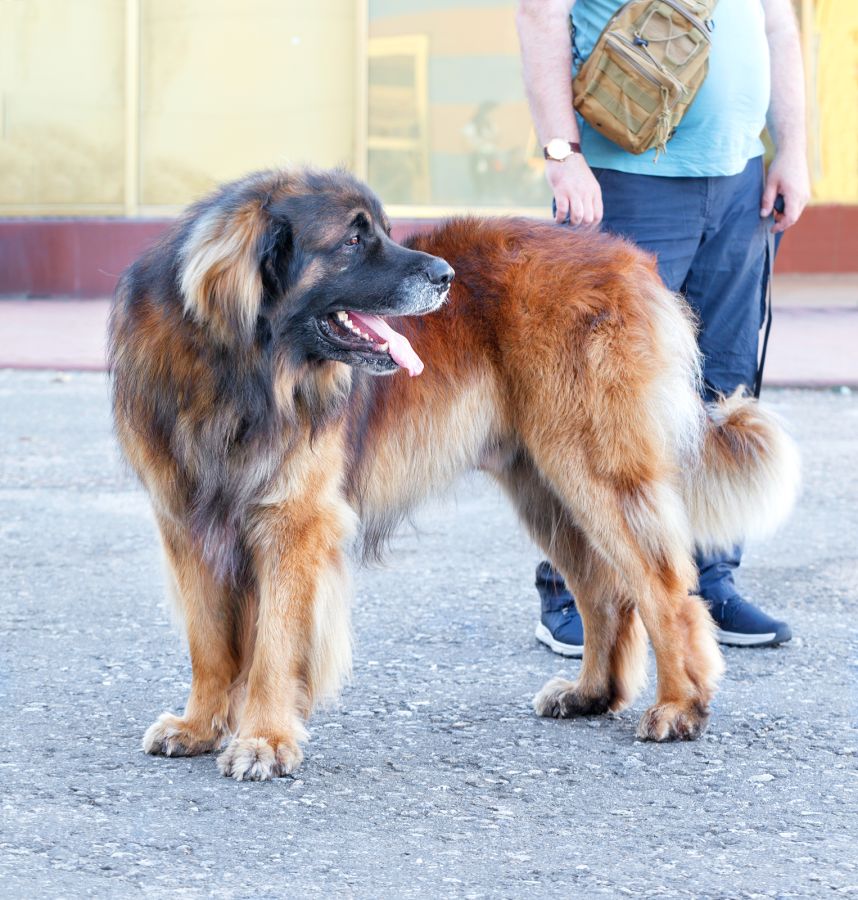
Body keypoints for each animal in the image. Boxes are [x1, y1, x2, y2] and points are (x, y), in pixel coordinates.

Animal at [107, 169, 796, 780]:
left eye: (385, 231)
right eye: (353, 240)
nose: (445, 277)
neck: (239, 368)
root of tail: (629, 257)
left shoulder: (293, 521)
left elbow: (275, 644)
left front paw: (263, 740)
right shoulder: (185, 522)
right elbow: (208, 641)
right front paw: (200, 726)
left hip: (591, 468)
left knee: (664, 589)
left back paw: (680, 706)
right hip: (546, 486)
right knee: (604, 591)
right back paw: (591, 694)